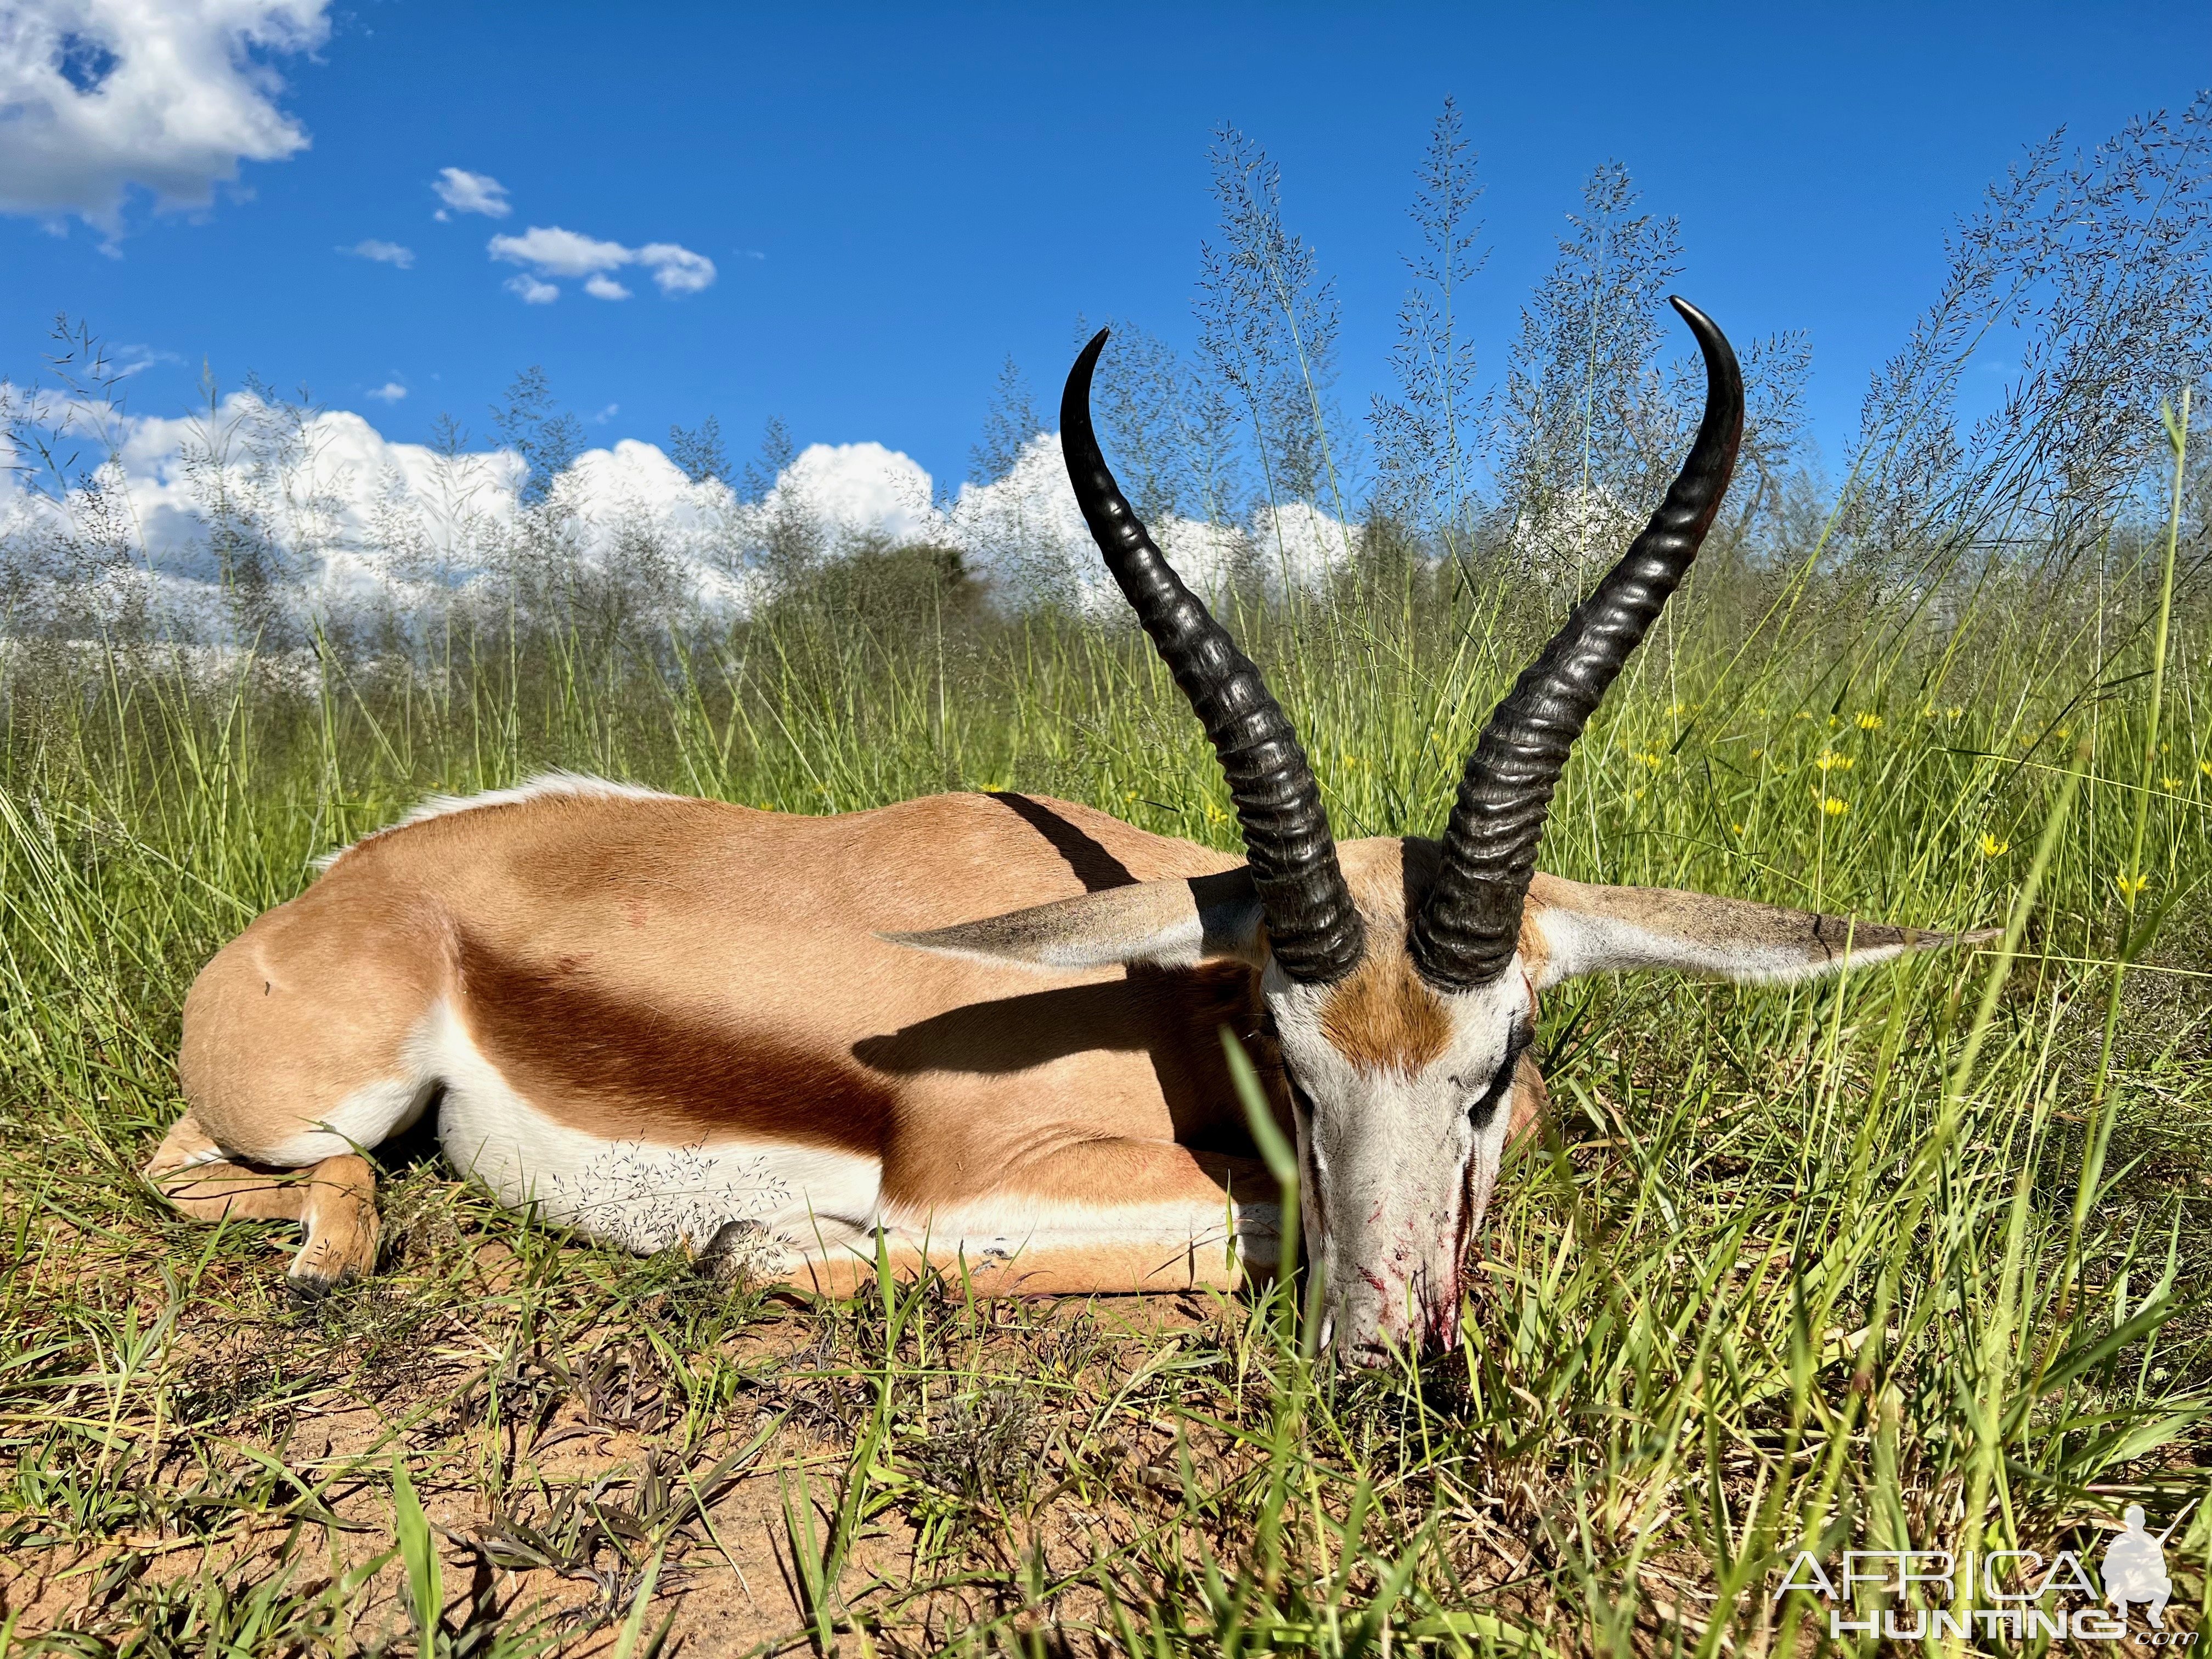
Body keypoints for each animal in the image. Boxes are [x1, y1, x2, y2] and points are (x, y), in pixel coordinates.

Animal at [156, 298, 1990, 1362]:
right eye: (1289, 1059)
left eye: (1495, 1066)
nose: (1383, 1358)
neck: (1165, 1012)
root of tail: (361, 875)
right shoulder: (987, 1182)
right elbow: (1211, 1224)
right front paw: (766, 1243)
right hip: (316, 1101)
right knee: (215, 1163)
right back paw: (332, 1263)